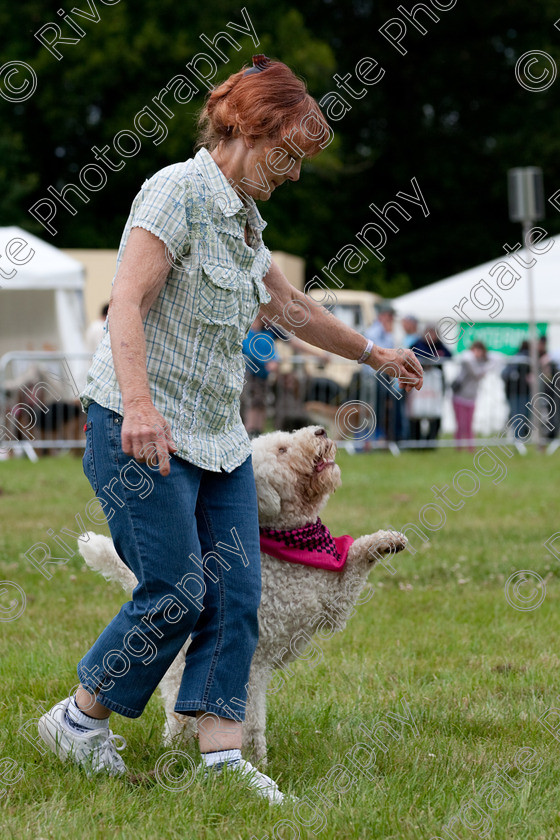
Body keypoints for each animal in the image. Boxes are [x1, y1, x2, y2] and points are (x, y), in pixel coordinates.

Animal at [77, 430, 406, 764]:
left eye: (288, 437)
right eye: (283, 449)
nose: (320, 432)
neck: (290, 546)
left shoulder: (334, 600)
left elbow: (356, 556)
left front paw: (386, 541)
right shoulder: (258, 662)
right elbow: (251, 721)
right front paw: (254, 759)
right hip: (184, 671)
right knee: (180, 719)